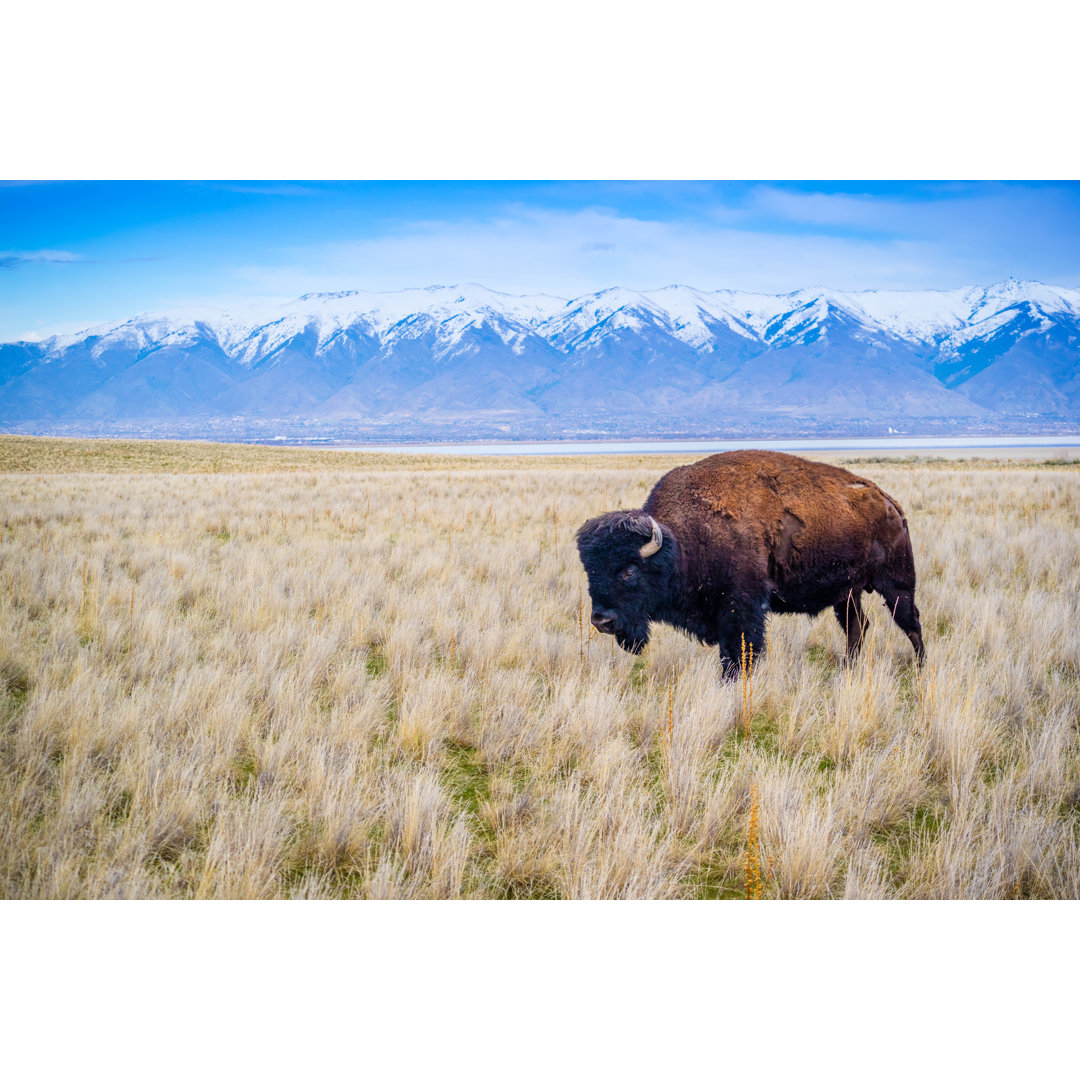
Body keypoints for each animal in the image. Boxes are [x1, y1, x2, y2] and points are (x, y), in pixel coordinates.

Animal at [578, 449, 924, 673]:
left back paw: (920, 667)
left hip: (897, 585)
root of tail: (890, 504)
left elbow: (740, 652)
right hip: (847, 593)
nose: (601, 621)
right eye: (590, 572)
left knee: (910, 623)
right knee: (857, 627)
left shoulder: (741, 608)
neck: (682, 542)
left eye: (629, 571)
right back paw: (848, 668)